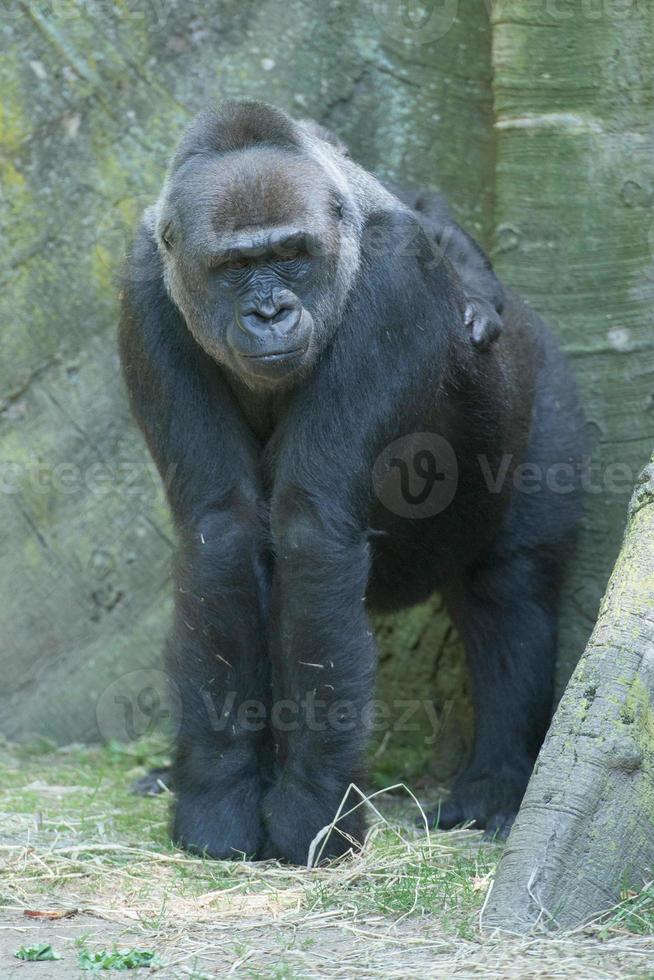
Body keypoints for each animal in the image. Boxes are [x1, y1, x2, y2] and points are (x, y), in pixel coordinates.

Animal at [120, 101, 588, 864]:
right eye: (234, 268)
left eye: (291, 255)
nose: (270, 313)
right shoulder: (144, 284)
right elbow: (223, 530)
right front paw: (219, 799)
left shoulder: (396, 275)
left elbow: (311, 528)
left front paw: (313, 812)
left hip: (547, 389)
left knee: (509, 592)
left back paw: (494, 785)